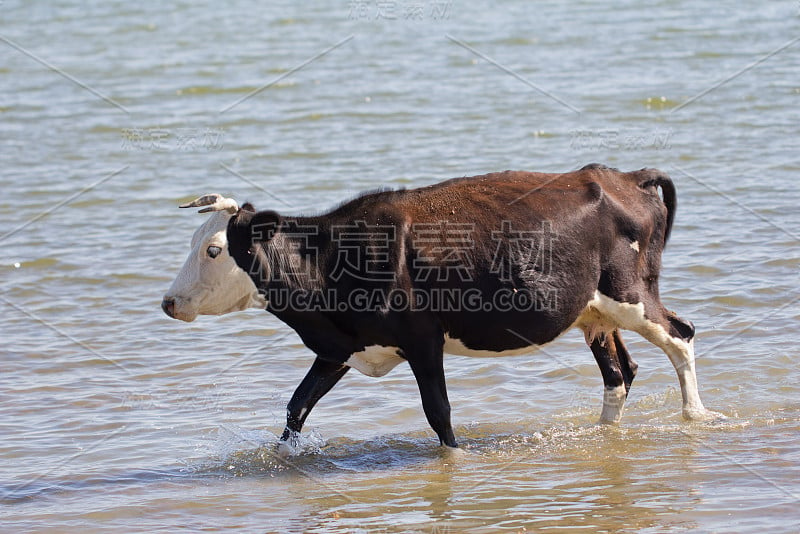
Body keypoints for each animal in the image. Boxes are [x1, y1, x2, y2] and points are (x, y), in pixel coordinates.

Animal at [161, 165, 720, 450]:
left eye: (214, 250)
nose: (168, 302)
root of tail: (622, 174)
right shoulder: (343, 345)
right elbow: (298, 405)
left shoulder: (422, 340)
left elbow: (439, 412)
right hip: (593, 311)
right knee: (620, 372)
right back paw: (602, 433)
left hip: (631, 293)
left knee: (681, 335)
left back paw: (695, 416)